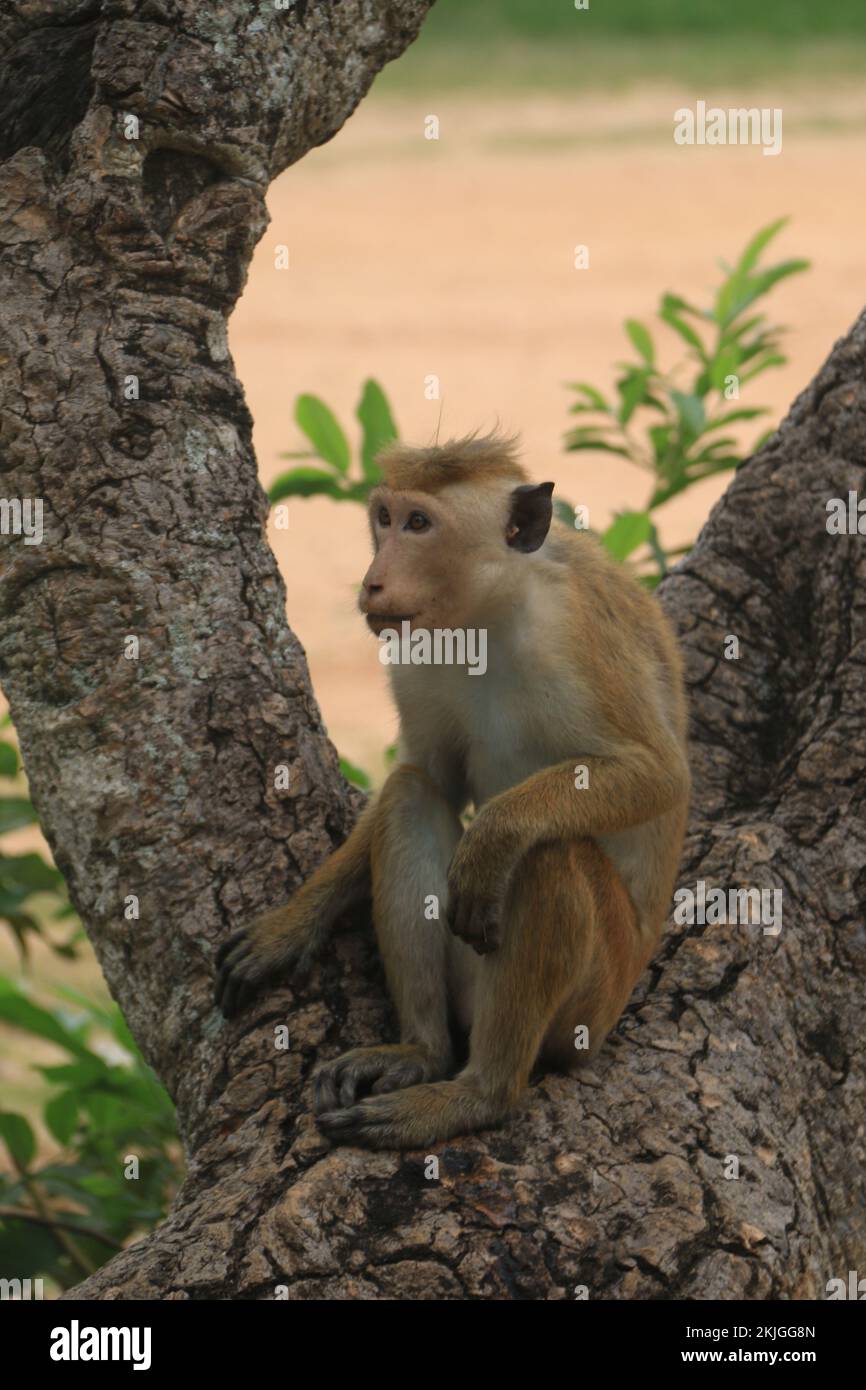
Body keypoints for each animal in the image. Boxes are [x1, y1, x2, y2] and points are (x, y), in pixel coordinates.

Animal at [216, 433, 692, 1150]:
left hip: (592, 1003)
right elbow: (427, 776)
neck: (489, 617)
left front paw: (495, 833)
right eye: (384, 519)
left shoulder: (580, 635)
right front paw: (291, 924)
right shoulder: (420, 652)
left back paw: (479, 1095)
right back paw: (422, 1053)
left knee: (549, 855)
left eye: (420, 524)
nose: (373, 579)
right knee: (411, 797)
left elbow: (659, 774)